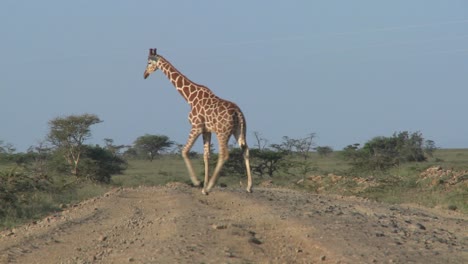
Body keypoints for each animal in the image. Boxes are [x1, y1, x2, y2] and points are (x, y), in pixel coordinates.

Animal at [143, 48, 252, 195]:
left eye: (149, 62)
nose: (145, 74)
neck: (189, 97)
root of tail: (238, 113)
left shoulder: (196, 126)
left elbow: (184, 151)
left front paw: (198, 183)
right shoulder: (206, 130)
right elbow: (206, 156)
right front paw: (203, 186)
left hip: (222, 132)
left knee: (224, 155)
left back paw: (211, 186)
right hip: (239, 131)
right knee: (245, 150)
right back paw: (249, 186)